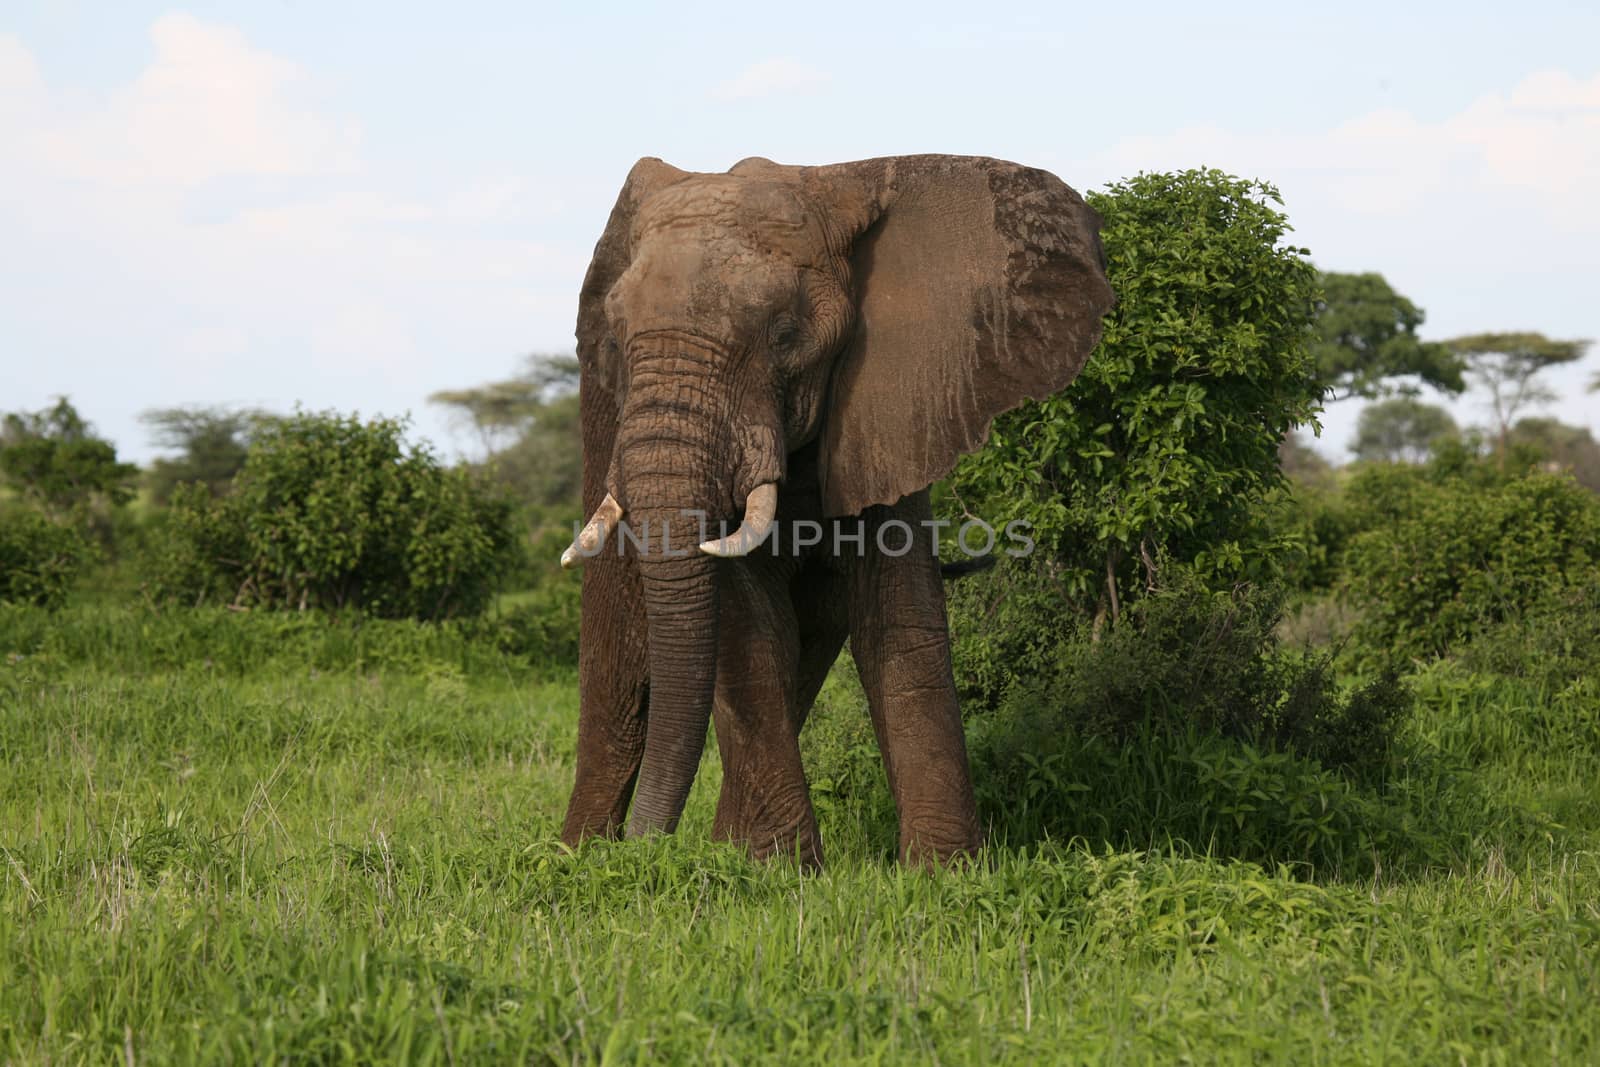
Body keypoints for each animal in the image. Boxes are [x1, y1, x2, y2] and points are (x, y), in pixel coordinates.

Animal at [560, 151, 1113, 870]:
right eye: (620, 337)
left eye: (786, 336)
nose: (648, 847)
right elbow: (750, 628)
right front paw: (783, 870)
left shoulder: (893, 401)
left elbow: (898, 620)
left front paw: (943, 873)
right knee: (621, 673)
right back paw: (576, 859)